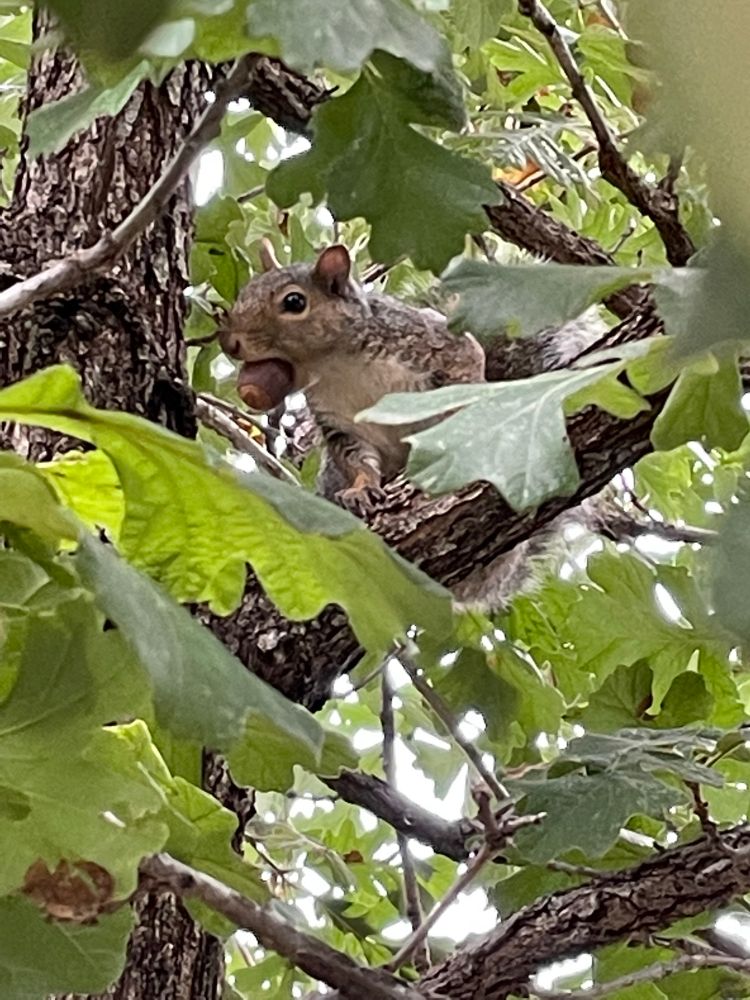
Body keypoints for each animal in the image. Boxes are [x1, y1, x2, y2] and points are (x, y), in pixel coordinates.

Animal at [218, 240, 486, 509]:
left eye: (294, 301)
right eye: (246, 290)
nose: (229, 343)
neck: (338, 365)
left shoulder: (442, 347)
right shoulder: (341, 422)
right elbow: (358, 462)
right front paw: (361, 489)